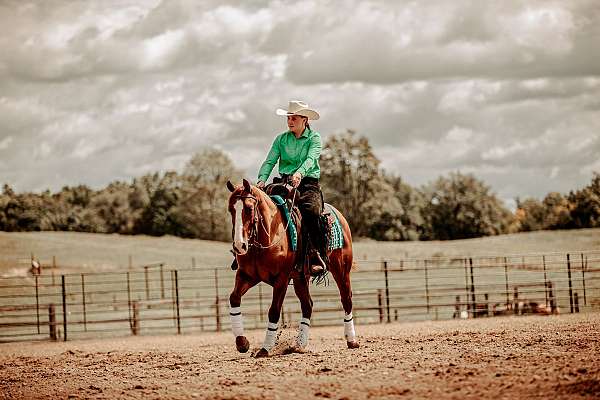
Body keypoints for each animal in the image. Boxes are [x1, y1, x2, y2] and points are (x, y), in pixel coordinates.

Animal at [224, 178, 356, 356]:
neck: (270, 234)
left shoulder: (282, 279)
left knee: (346, 299)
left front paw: (265, 348)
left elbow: (274, 311)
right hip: (301, 278)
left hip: (341, 270)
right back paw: (299, 344)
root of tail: (339, 215)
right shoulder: (246, 276)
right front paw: (242, 342)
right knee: (307, 305)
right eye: (231, 209)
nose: (239, 246)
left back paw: (352, 340)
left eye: (249, 208)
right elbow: (234, 299)